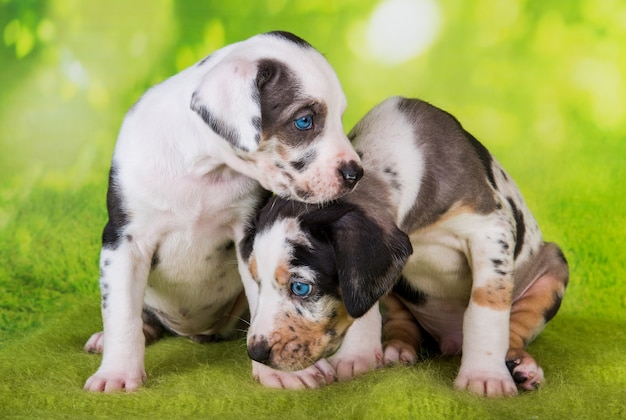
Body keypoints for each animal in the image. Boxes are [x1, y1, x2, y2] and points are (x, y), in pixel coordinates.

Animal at [84, 31, 364, 392]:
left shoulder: (249, 236)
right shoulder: (123, 241)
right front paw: (117, 373)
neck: (202, 167)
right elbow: (121, 314)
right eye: (304, 121)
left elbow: (264, 297)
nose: (355, 173)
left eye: (340, 117)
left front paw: (279, 370)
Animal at [241, 96, 568, 398]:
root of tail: (449, 342)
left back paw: (522, 367)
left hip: (553, 268)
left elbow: (485, 308)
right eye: (257, 281)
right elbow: (364, 310)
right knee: (401, 322)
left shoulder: (489, 230)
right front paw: (357, 357)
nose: (255, 353)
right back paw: (396, 349)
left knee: (515, 331)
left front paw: (484, 376)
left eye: (300, 288)